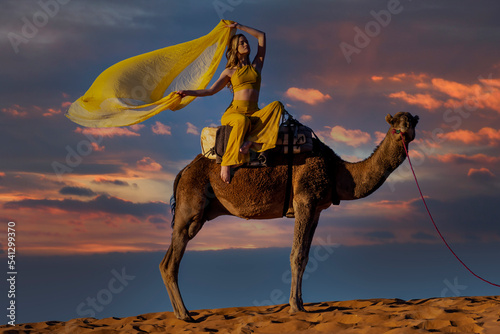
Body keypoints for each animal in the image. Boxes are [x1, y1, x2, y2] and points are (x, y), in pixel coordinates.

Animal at [159, 111, 418, 320]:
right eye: (395, 125)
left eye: (411, 122)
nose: (407, 132)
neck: (337, 170)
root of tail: (183, 171)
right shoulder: (304, 200)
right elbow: (296, 256)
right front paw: (294, 307)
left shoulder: (316, 210)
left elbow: (305, 257)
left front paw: (302, 304)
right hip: (190, 205)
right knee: (172, 261)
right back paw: (185, 315)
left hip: (196, 213)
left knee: (165, 261)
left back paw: (180, 313)